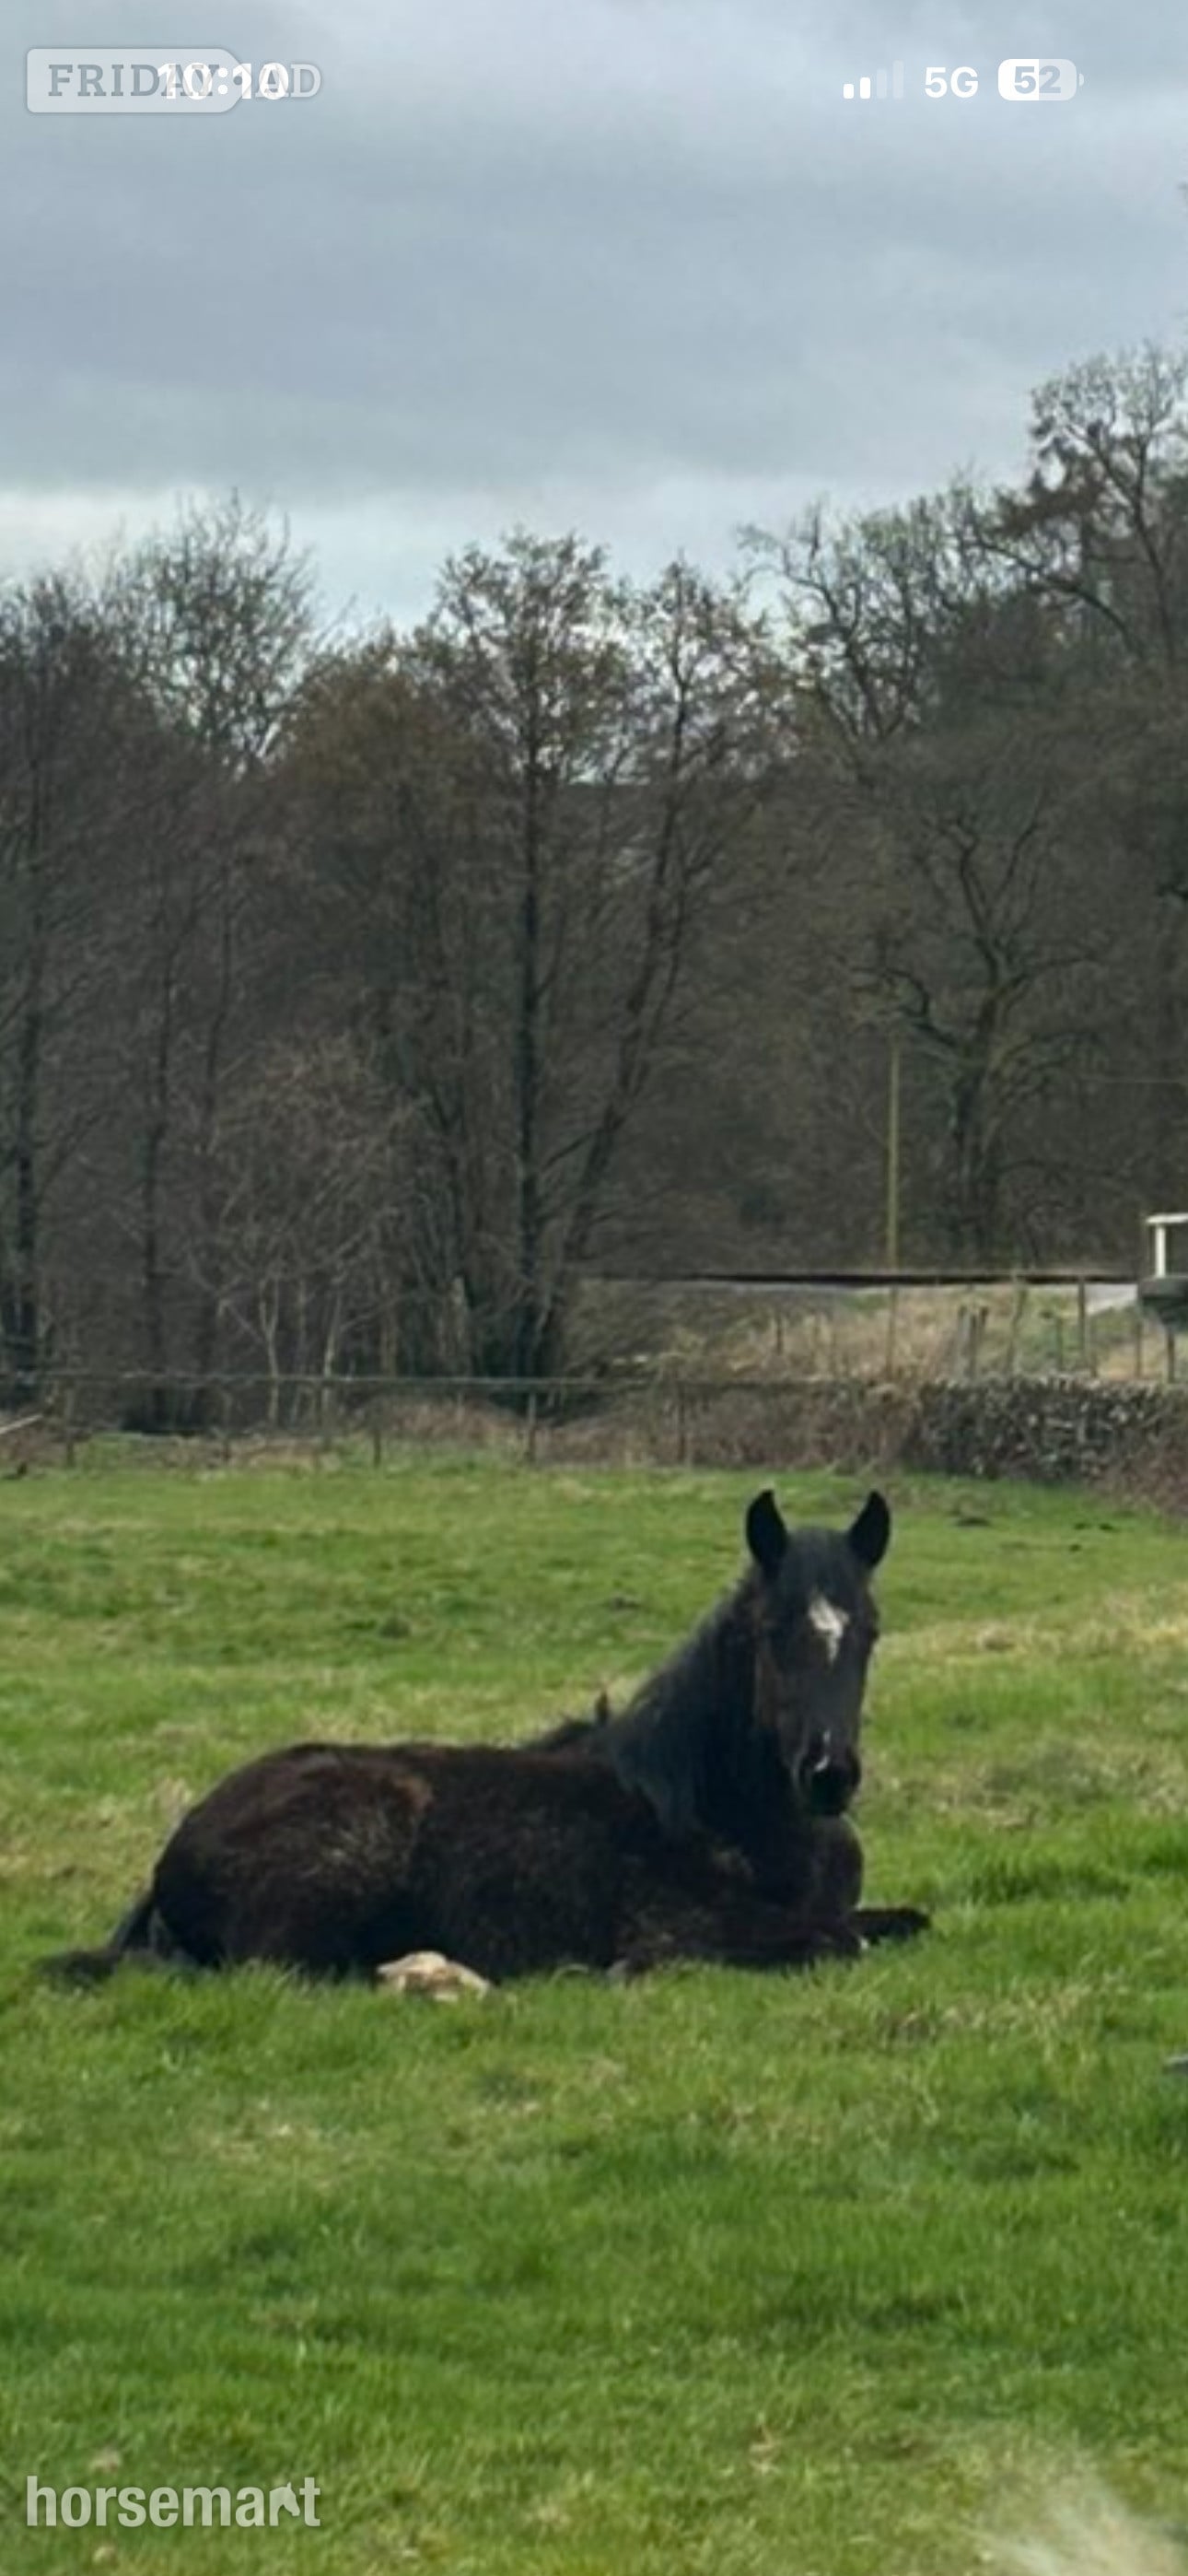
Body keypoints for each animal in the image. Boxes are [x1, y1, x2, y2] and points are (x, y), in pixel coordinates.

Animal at [45, 1487, 928, 1986]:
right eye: (774, 1632)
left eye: (869, 1632)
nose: (829, 1774)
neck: (715, 1810)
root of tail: (173, 1854)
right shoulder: (685, 1929)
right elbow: (835, 1941)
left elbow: (900, 1922)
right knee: (282, 1970)